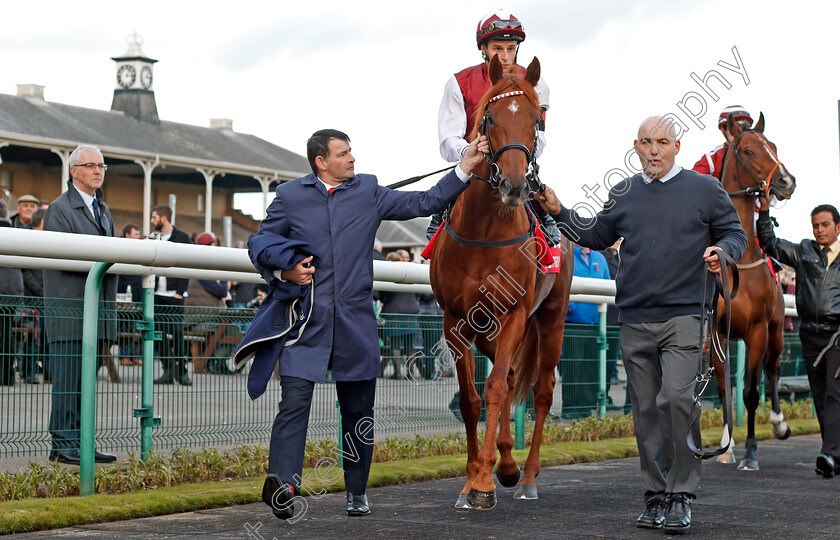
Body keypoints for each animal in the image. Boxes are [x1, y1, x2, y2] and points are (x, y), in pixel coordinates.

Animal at [430, 56, 576, 510]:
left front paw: (482, 482)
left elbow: (494, 389)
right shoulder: (457, 320)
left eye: (537, 119)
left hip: (551, 317)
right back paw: (507, 463)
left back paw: (526, 475)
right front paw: (473, 478)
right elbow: (472, 399)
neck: (485, 232)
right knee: (512, 377)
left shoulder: (514, 313)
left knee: (541, 389)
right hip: (490, 329)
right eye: (490, 118)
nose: (515, 186)